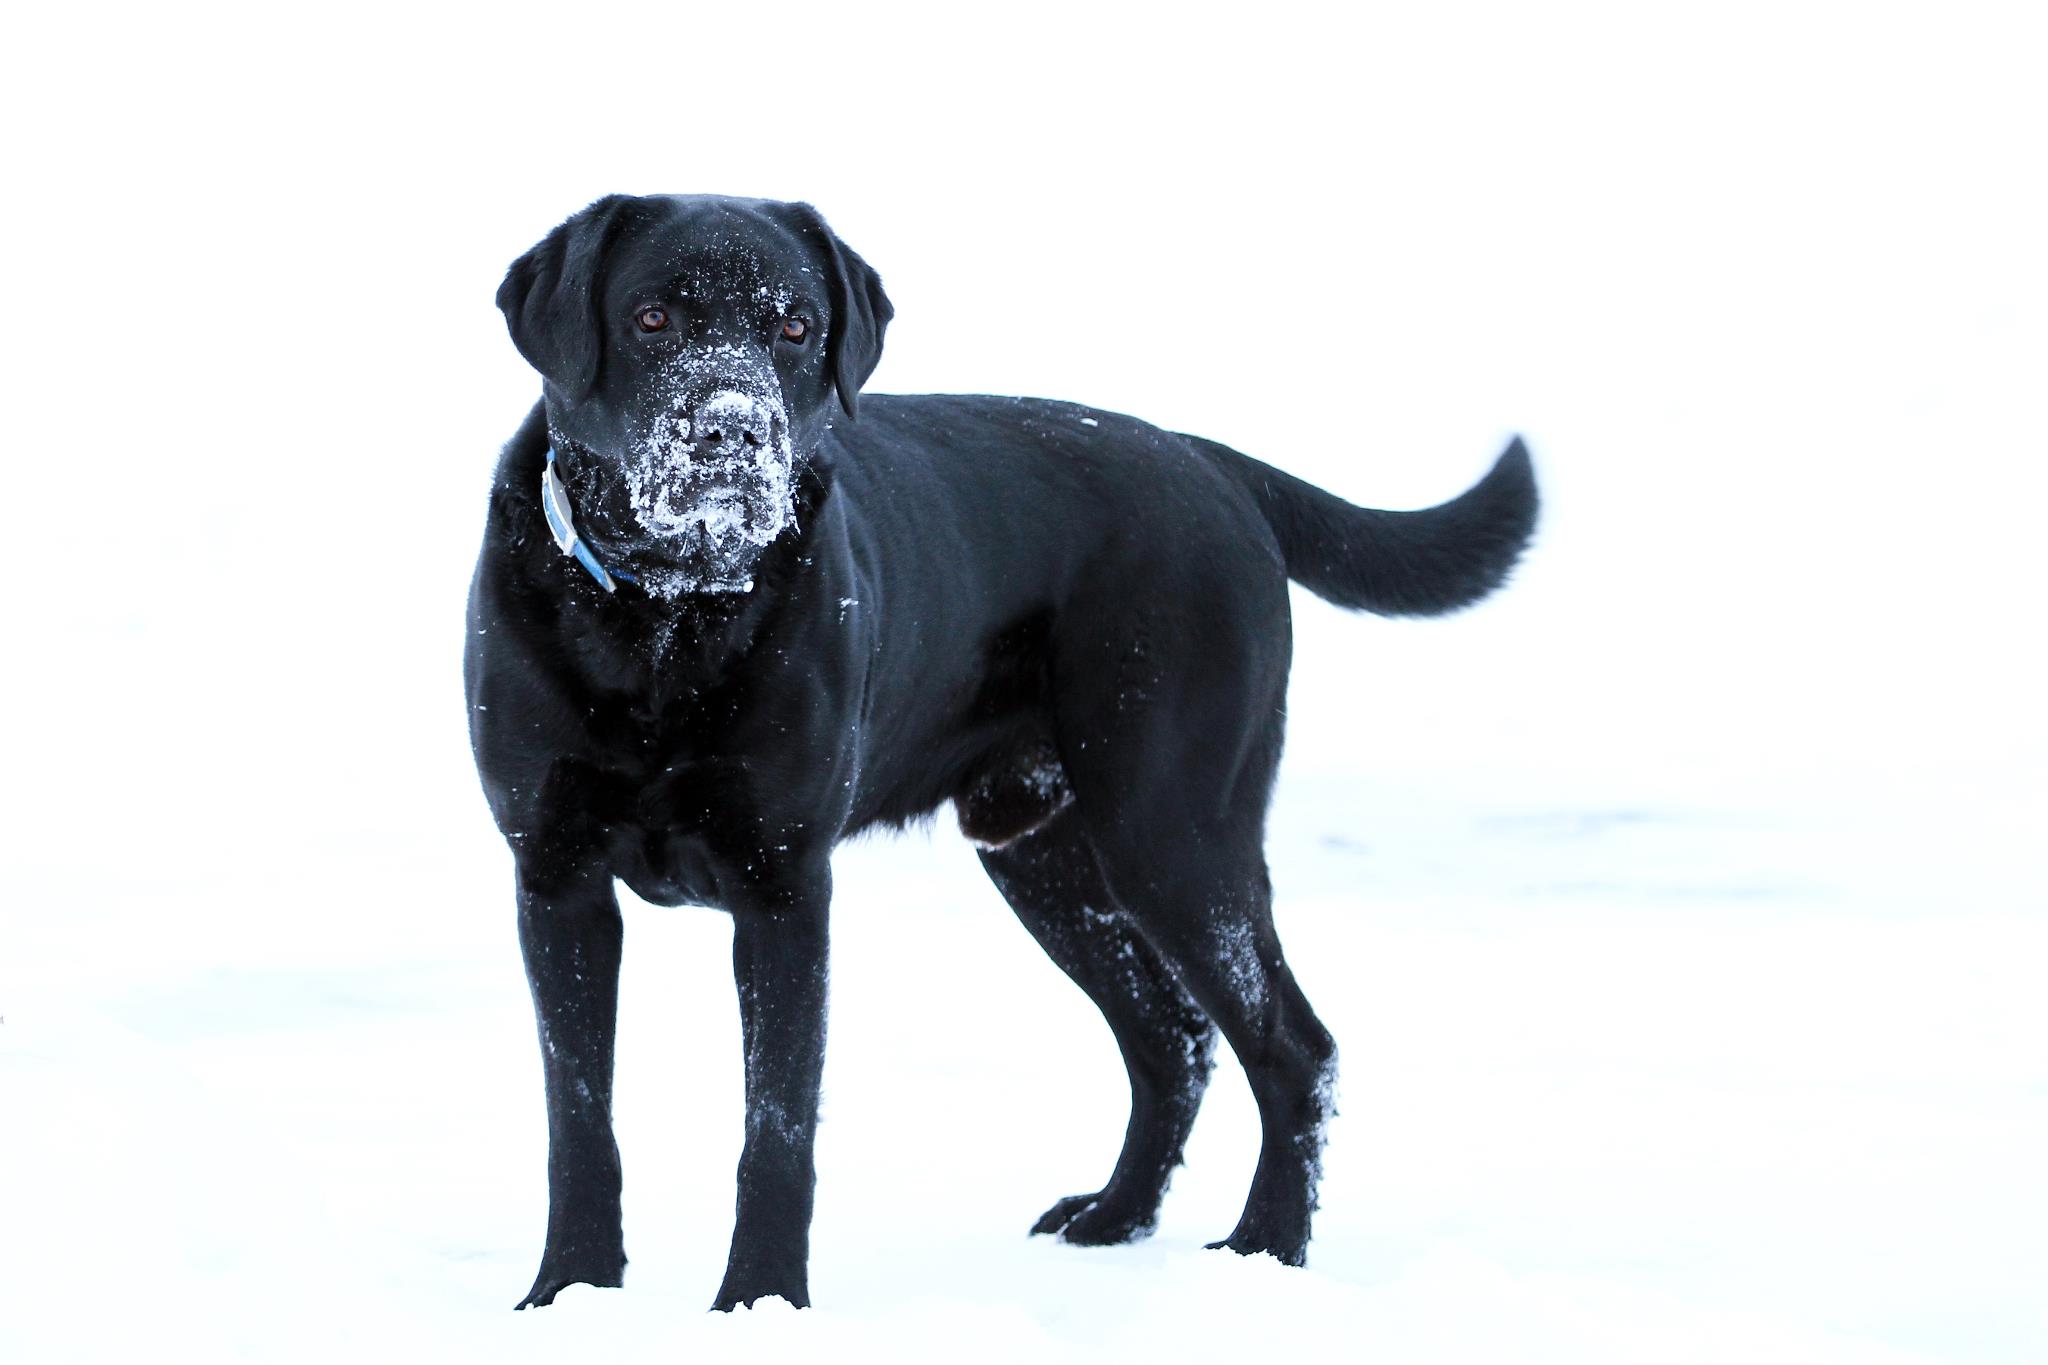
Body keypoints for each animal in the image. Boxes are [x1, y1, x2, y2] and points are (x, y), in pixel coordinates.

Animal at [468, 192, 1540, 1309]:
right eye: (651, 320)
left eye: (794, 327)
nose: (733, 429)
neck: (665, 618)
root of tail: (1205, 460)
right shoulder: (557, 879)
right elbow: (578, 1117)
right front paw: (569, 1292)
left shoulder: (784, 887)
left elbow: (778, 1126)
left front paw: (760, 1302)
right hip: (1048, 856)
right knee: (1172, 1041)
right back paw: (1113, 1218)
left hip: (1172, 833)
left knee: (1294, 1048)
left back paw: (1266, 1250)